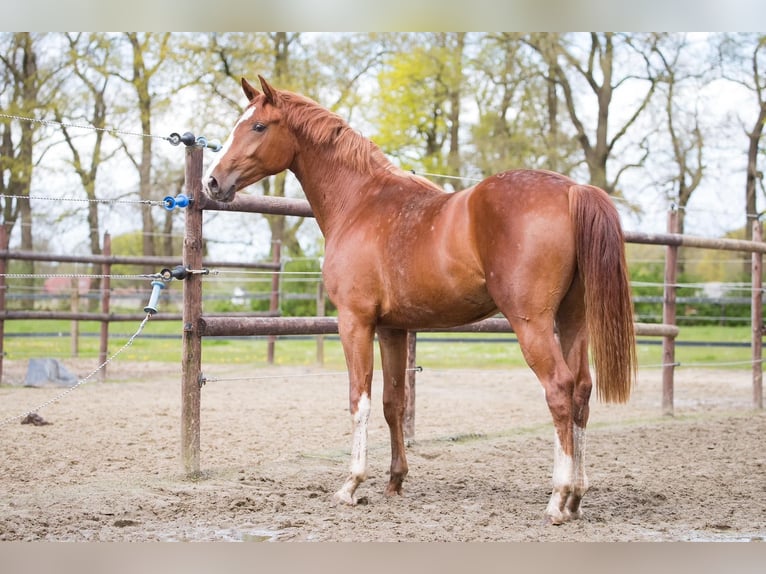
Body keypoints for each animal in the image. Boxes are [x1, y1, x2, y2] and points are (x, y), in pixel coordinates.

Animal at [202, 74, 636, 524]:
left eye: (258, 126)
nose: (213, 182)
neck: (360, 202)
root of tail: (573, 190)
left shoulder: (354, 321)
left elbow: (359, 400)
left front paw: (351, 485)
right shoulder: (393, 328)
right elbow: (393, 402)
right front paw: (395, 481)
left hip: (531, 323)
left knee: (559, 391)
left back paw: (557, 497)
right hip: (572, 319)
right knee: (582, 390)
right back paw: (577, 496)